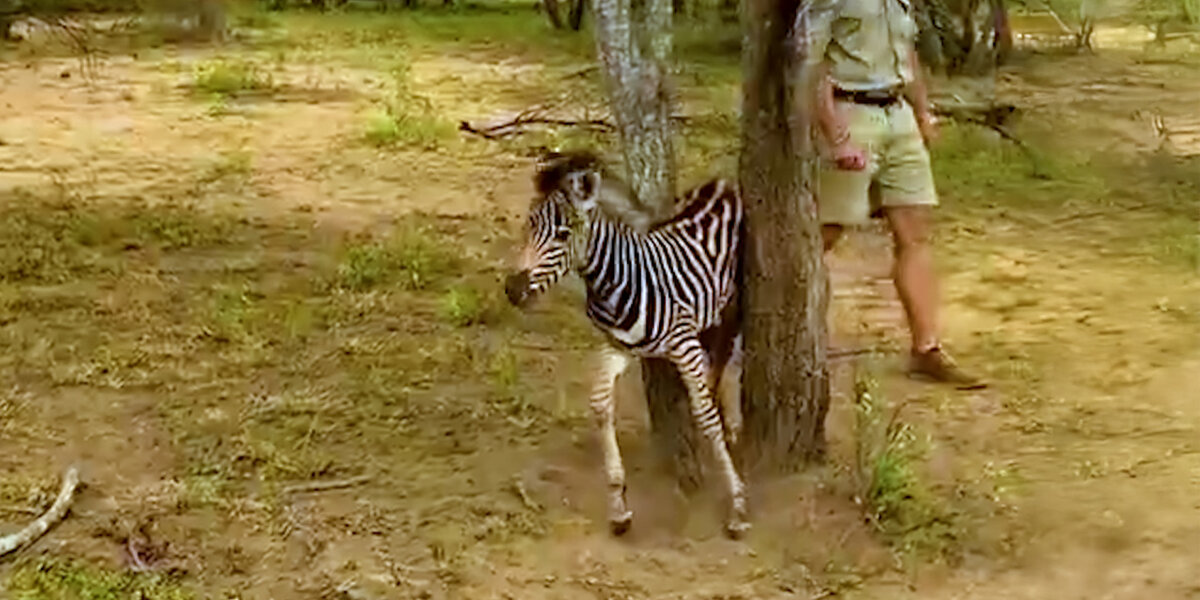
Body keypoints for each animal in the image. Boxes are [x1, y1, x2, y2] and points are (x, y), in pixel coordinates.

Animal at [503, 150, 749, 538]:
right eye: (528, 226)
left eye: (563, 234)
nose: (513, 290)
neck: (617, 283)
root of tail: (723, 182)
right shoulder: (616, 346)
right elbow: (601, 405)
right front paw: (619, 505)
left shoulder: (685, 345)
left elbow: (705, 414)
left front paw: (736, 505)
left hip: (733, 305)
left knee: (733, 357)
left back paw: (734, 426)